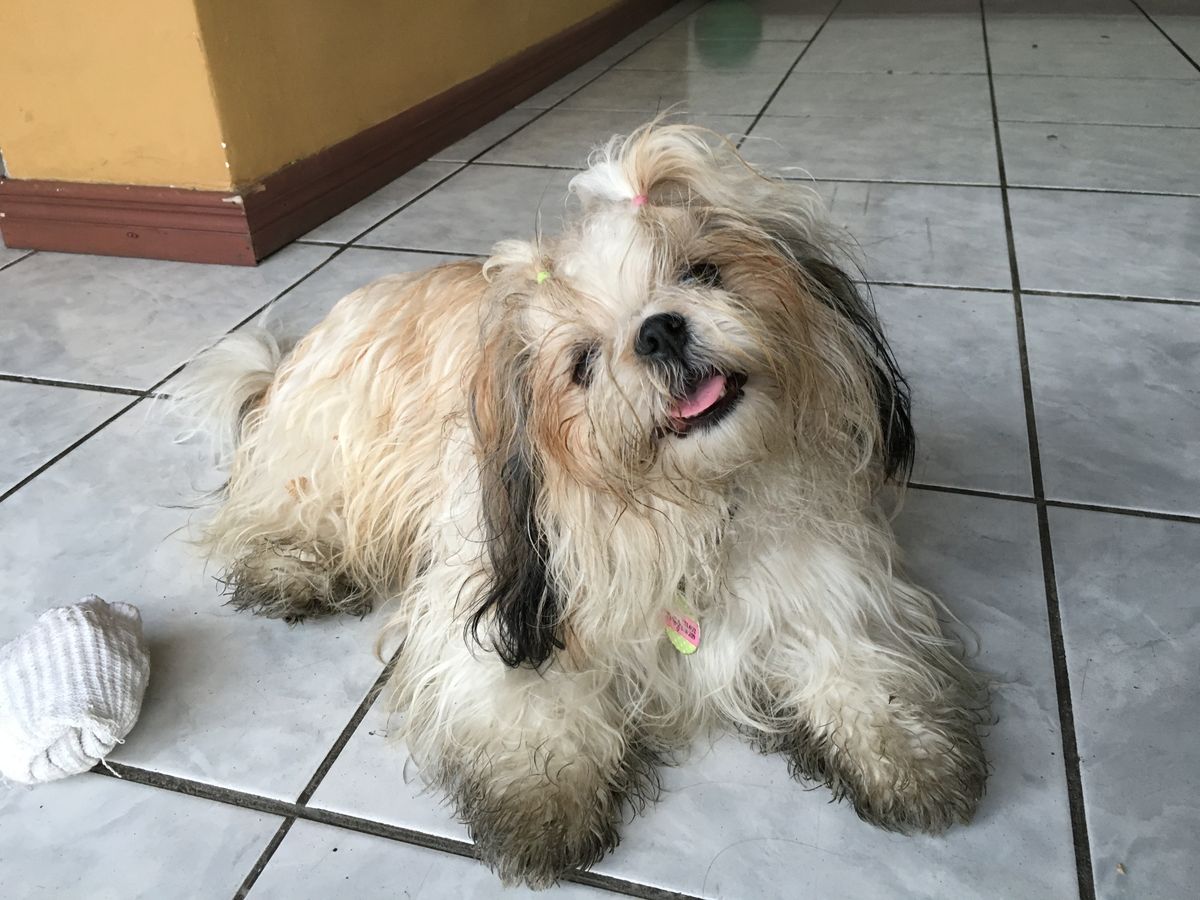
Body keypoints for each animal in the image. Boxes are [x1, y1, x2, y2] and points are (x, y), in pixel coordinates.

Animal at [176, 123, 988, 888]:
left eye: (702, 271)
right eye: (583, 362)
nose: (659, 329)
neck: (691, 506)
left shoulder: (826, 581)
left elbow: (857, 665)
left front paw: (906, 756)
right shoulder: (511, 599)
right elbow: (527, 700)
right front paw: (542, 799)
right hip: (328, 449)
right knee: (279, 507)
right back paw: (292, 568)